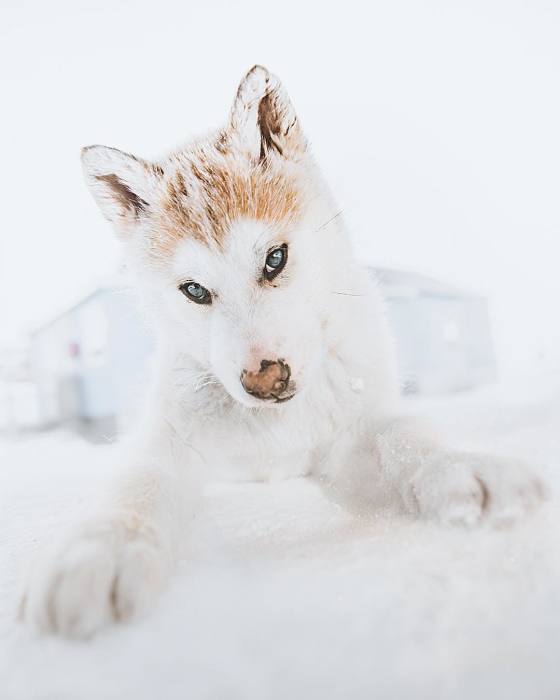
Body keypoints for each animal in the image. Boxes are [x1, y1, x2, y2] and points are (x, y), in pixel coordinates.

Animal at [19, 67, 544, 640]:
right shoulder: (167, 442)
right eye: (194, 290)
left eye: (275, 259)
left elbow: (403, 440)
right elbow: (137, 485)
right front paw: (101, 549)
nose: (265, 380)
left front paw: (457, 466)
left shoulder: (351, 439)